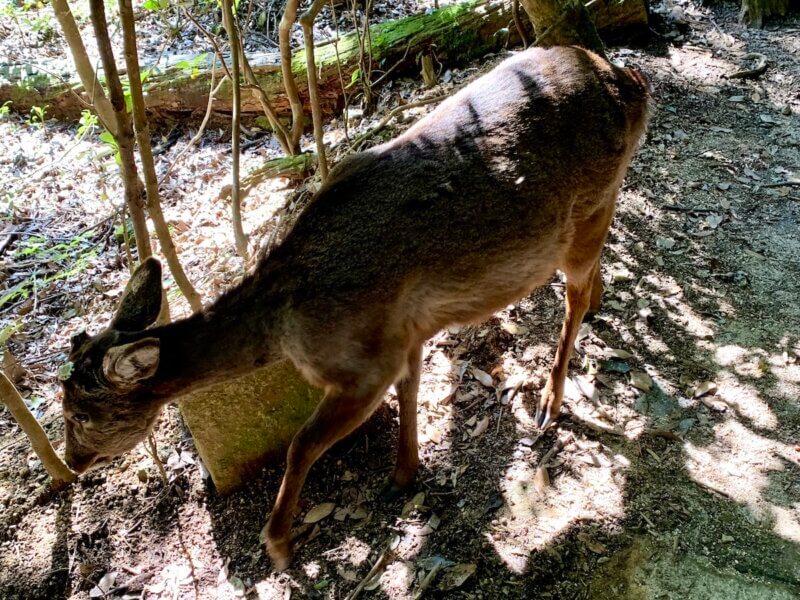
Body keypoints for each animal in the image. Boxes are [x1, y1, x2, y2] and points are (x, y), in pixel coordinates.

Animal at [59, 46, 650, 570]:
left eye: (79, 414)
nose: (72, 461)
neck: (287, 322)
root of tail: (629, 82)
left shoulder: (363, 364)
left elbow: (300, 444)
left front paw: (279, 544)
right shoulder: (402, 336)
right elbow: (410, 391)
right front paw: (405, 475)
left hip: (588, 205)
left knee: (573, 296)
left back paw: (550, 400)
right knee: (591, 275)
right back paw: (597, 306)